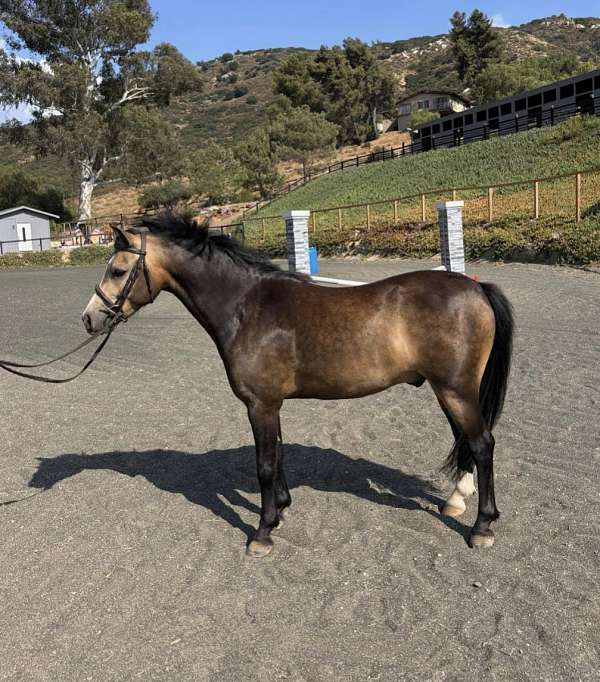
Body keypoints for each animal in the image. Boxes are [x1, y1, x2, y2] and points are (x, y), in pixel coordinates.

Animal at [82, 214, 514, 558]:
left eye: (118, 270)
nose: (90, 318)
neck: (247, 307)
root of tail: (475, 288)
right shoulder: (271, 405)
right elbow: (279, 456)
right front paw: (282, 511)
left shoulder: (259, 405)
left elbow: (264, 466)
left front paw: (262, 532)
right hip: (450, 391)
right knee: (466, 441)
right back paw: (456, 501)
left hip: (456, 390)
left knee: (481, 444)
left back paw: (482, 527)